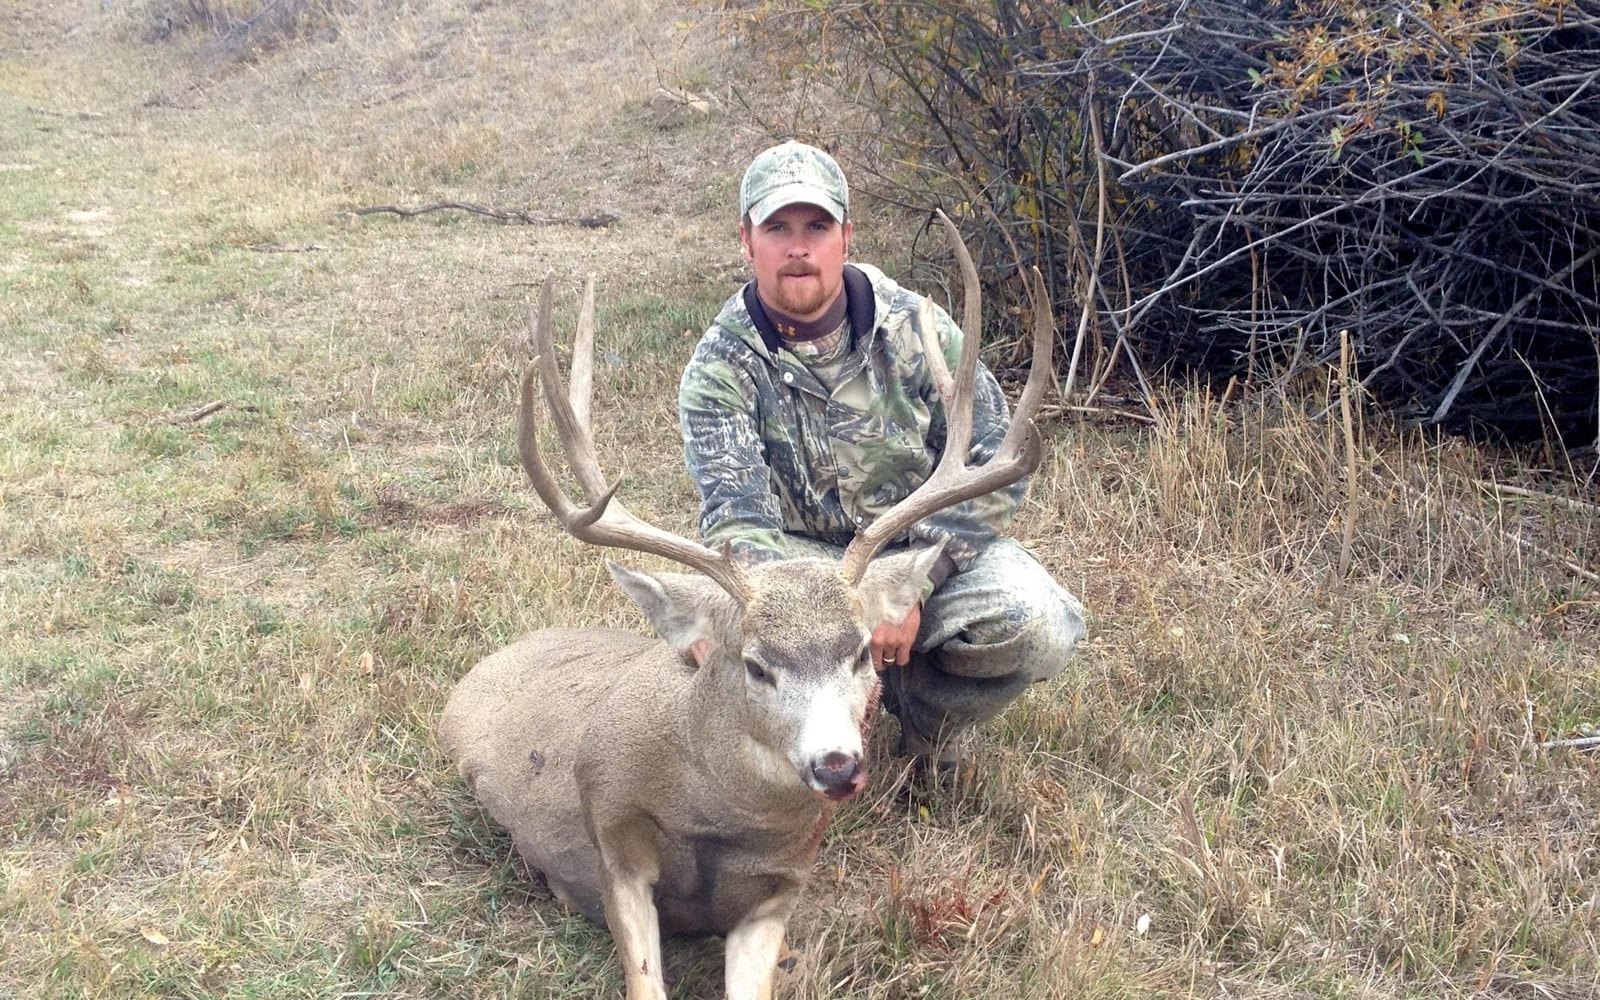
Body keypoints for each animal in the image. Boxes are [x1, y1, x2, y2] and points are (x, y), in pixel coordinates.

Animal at [438, 213, 1054, 1000]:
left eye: (861, 652)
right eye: (756, 665)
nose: (837, 766)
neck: (721, 822)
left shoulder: (779, 891)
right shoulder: (614, 845)